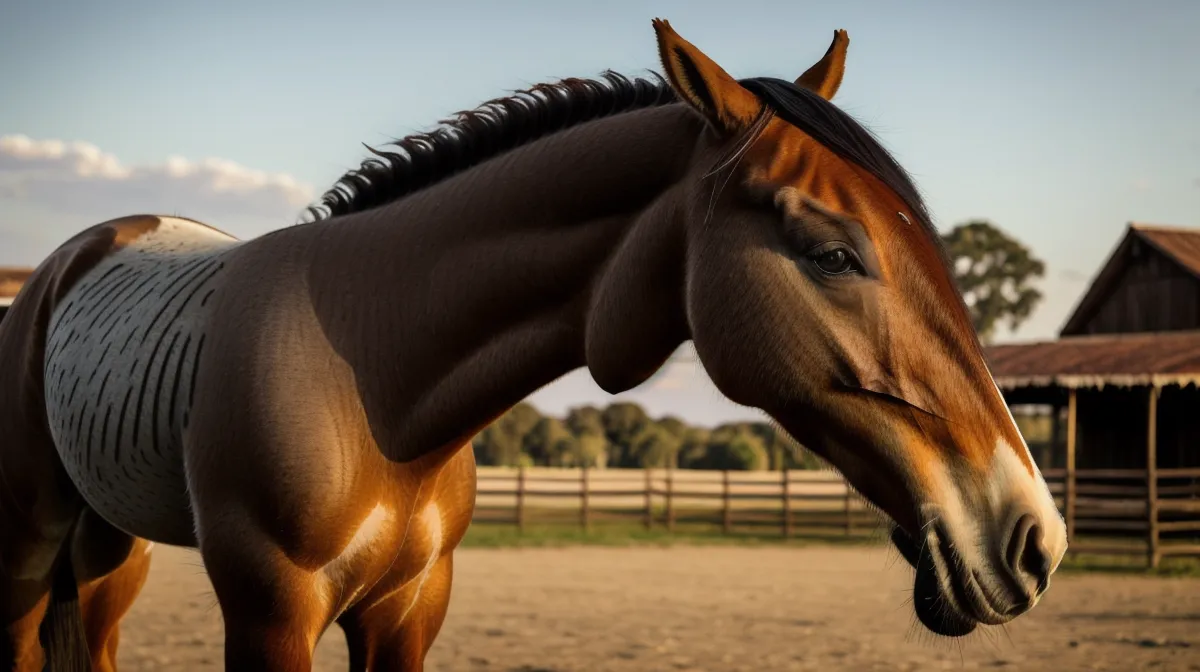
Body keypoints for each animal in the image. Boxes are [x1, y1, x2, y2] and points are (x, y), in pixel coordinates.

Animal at [0, 18, 1067, 671]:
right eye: (834, 252)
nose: (1035, 538)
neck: (374, 383)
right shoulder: (270, 613)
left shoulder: (407, 612)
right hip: (28, 554)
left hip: (111, 558)